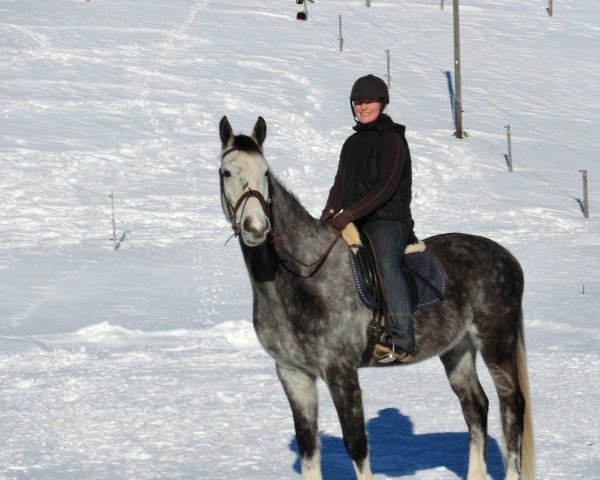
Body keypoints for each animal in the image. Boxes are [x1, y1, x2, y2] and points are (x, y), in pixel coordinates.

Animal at [217, 116, 536, 480]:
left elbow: (356, 445)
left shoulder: (341, 372)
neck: (302, 279)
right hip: (458, 350)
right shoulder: (293, 374)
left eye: (266, 173)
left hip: (497, 342)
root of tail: (508, 258)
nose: (256, 227)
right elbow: (309, 447)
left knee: (511, 405)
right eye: (225, 172)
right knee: (476, 407)